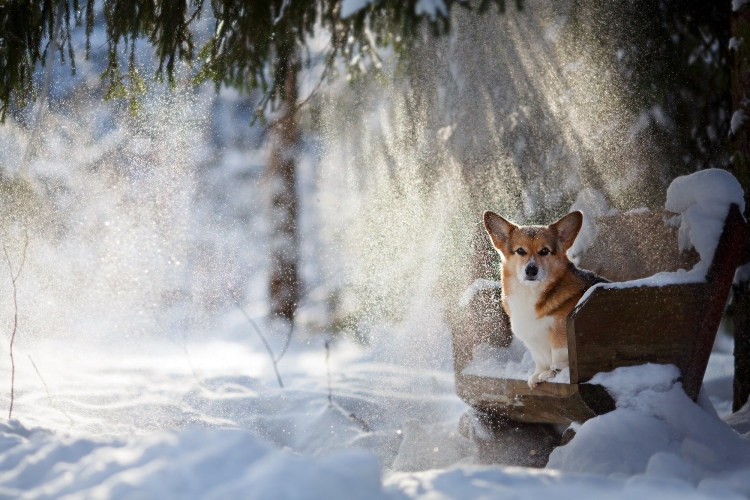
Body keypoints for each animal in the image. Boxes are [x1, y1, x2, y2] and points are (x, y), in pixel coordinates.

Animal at [482, 209, 612, 388]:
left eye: (544, 251)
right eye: (520, 251)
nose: (531, 270)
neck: (530, 292)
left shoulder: (561, 332)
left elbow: (558, 354)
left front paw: (553, 373)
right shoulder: (533, 342)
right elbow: (539, 359)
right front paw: (537, 374)